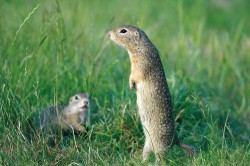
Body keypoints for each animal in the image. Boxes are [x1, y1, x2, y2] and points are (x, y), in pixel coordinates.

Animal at [109, 25, 195, 161]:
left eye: (123, 31)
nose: (109, 34)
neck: (141, 47)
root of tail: (175, 139)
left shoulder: (141, 64)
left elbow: (135, 75)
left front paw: (131, 85)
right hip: (148, 144)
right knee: (147, 153)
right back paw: (141, 161)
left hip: (159, 144)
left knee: (162, 158)